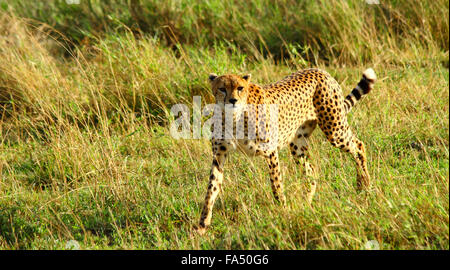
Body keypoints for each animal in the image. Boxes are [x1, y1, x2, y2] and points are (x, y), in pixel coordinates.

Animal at [197, 67, 376, 234]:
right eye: (222, 88)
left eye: (240, 88)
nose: (233, 100)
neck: (233, 117)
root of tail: (320, 71)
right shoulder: (219, 155)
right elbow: (211, 189)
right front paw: (202, 225)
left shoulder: (270, 152)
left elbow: (276, 185)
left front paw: (282, 211)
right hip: (298, 143)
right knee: (310, 172)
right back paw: (306, 203)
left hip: (334, 130)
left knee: (359, 146)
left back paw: (364, 185)